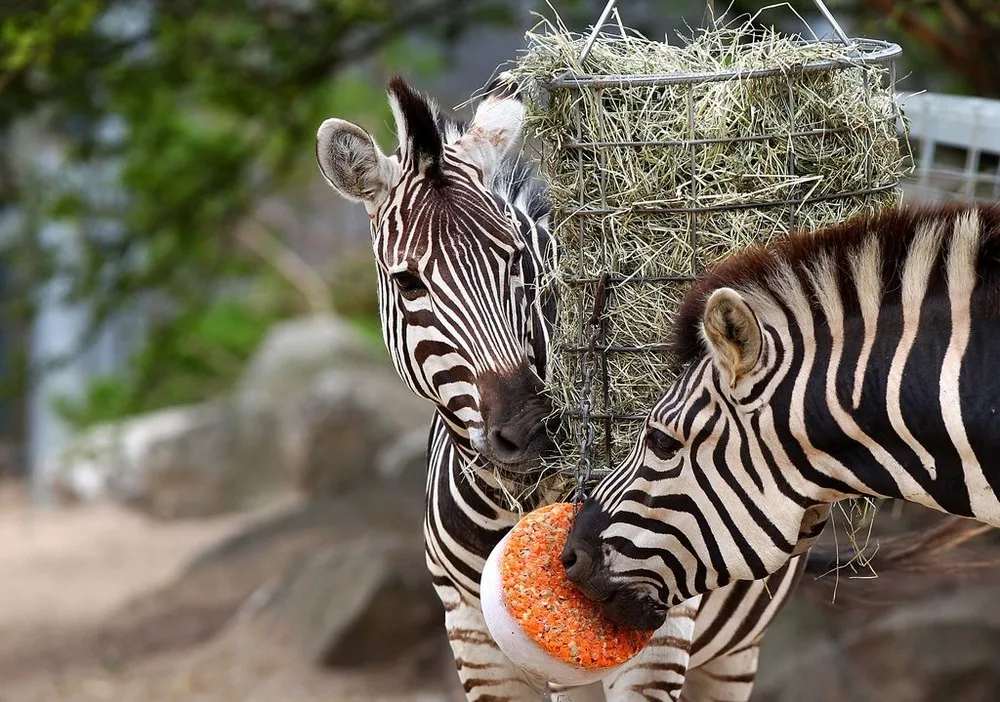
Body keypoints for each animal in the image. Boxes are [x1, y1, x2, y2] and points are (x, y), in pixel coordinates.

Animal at [316, 75, 808, 702]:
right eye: (406, 282)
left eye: (519, 261)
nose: (531, 430)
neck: (511, 508)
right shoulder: (473, 637)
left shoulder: (657, 637)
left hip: (734, 650)